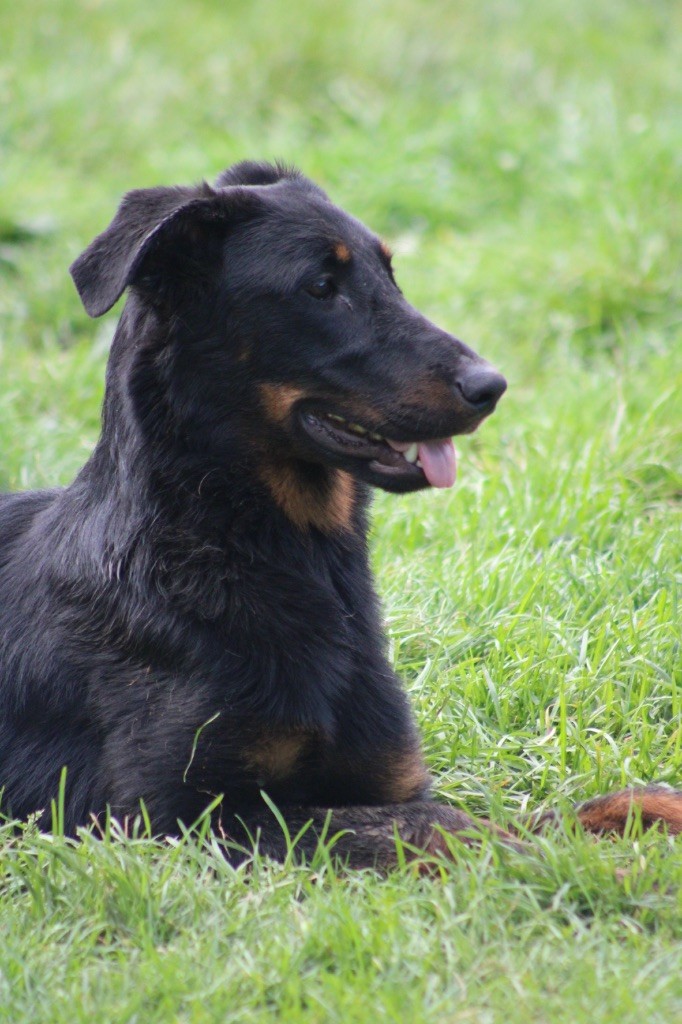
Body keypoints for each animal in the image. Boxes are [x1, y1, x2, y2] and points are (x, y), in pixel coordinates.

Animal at [1, 161, 679, 864]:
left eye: (391, 275)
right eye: (322, 288)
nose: (491, 387)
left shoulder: (387, 777)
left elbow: (557, 812)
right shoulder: (174, 821)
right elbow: (453, 828)